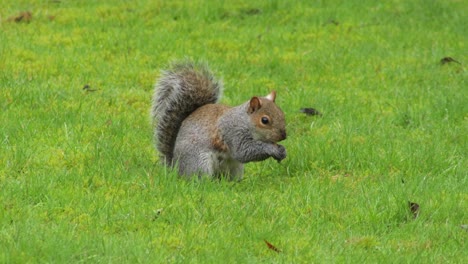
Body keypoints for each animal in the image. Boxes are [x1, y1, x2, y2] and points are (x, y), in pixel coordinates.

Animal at [152, 60, 288, 179]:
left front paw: (282, 150)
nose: (283, 135)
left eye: (282, 113)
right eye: (264, 120)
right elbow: (243, 151)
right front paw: (272, 149)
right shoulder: (232, 132)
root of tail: (176, 168)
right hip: (200, 162)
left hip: (235, 167)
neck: (244, 120)